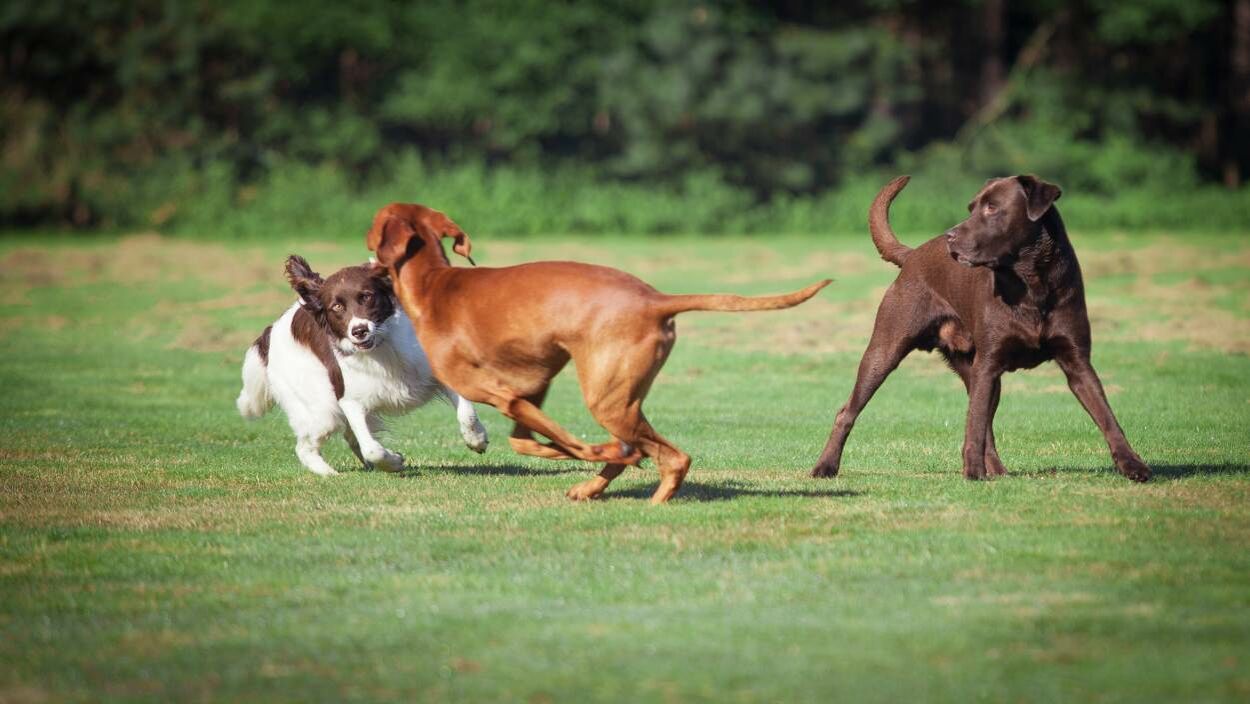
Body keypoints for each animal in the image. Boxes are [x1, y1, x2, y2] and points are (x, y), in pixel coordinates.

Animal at [236, 256, 490, 477]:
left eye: (367, 296)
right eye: (337, 307)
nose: (359, 331)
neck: (382, 348)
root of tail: (269, 332)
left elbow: (466, 413)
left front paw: (476, 439)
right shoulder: (349, 400)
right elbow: (372, 449)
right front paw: (394, 462)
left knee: (349, 439)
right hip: (323, 410)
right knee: (305, 447)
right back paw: (330, 474)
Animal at [362, 201, 830, 505]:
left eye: (372, 229)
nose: (364, 257)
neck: (434, 285)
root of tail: (655, 300)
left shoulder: (502, 395)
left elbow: (567, 445)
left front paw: (595, 453)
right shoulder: (532, 390)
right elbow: (527, 443)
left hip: (607, 399)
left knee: (672, 456)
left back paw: (648, 494)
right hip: (619, 396)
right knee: (649, 450)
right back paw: (597, 486)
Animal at [810, 176, 1150, 485]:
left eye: (992, 208)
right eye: (971, 208)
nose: (950, 236)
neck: (1031, 285)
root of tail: (913, 254)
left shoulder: (1076, 361)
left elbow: (1107, 416)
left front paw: (1133, 465)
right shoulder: (988, 363)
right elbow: (973, 427)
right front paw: (972, 472)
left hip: (977, 373)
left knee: (985, 424)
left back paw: (997, 470)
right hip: (886, 350)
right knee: (847, 411)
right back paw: (825, 467)